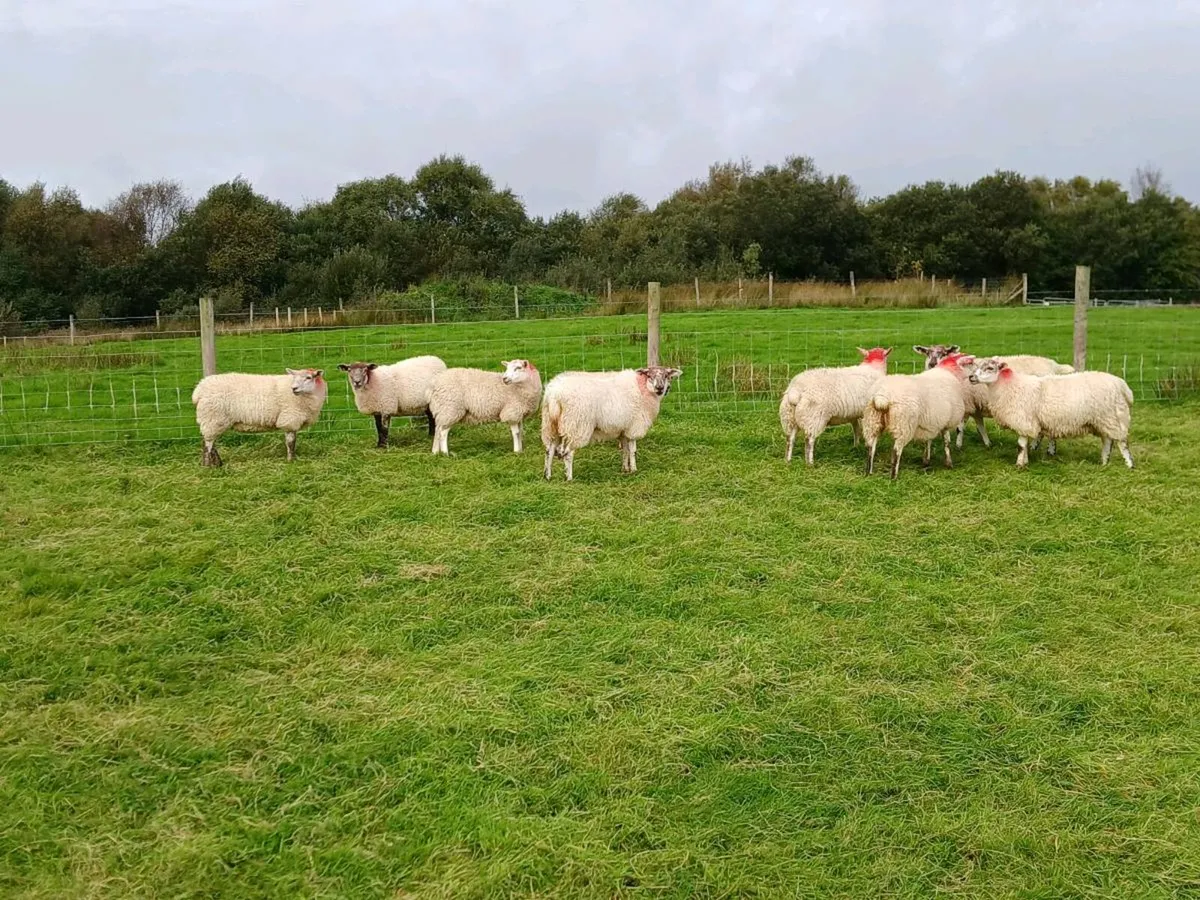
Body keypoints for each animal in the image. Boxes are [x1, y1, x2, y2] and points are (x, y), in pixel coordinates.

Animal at [191, 368, 328, 467]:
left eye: (308, 377)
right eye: (294, 377)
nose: (294, 388)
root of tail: (199, 389)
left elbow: (292, 441)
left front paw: (292, 458)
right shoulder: (290, 419)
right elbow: (291, 442)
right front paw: (291, 460)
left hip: (213, 420)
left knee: (208, 441)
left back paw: (217, 463)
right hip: (212, 417)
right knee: (208, 443)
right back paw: (209, 465)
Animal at [541, 365, 683, 481]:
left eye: (666, 375)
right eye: (650, 375)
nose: (660, 388)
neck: (643, 389)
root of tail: (554, 394)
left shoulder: (623, 429)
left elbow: (625, 450)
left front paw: (625, 469)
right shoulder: (634, 427)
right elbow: (633, 451)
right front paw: (634, 470)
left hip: (551, 425)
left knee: (550, 451)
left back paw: (547, 476)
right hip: (576, 425)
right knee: (567, 453)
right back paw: (569, 477)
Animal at [913, 345, 1076, 448]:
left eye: (943, 352)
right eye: (927, 352)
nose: (932, 364)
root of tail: (1054, 365)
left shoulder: (966, 404)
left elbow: (960, 428)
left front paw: (958, 446)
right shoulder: (975, 407)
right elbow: (980, 427)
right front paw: (987, 444)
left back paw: (1044, 448)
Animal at [966, 357, 1134, 468]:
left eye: (990, 368)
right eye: (977, 366)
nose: (971, 377)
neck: (1010, 386)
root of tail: (1121, 384)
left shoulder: (1023, 421)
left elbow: (1021, 445)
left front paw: (1019, 465)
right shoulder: (1028, 423)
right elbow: (1025, 445)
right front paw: (1025, 461)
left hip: (1112, 417)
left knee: (1122, 442)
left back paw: (1129, 465)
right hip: (1103, 420)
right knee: (1107, 441)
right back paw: (1104, 462)